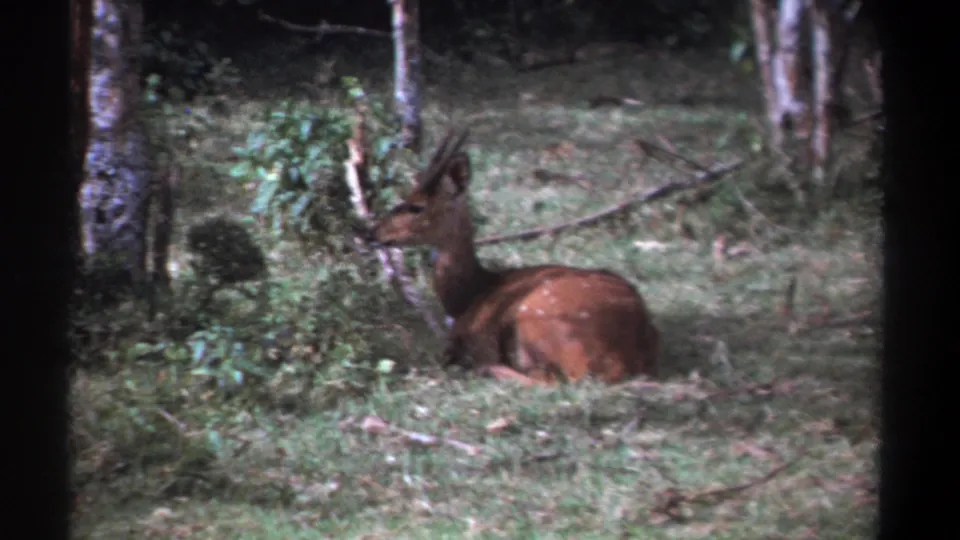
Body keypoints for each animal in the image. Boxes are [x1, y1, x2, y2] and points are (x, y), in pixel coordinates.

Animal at [371, 129, 660, 386]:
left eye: (416, 206)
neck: (469, 295)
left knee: (554, 379)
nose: (373, 230)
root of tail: (622, 361)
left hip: (536, 319)